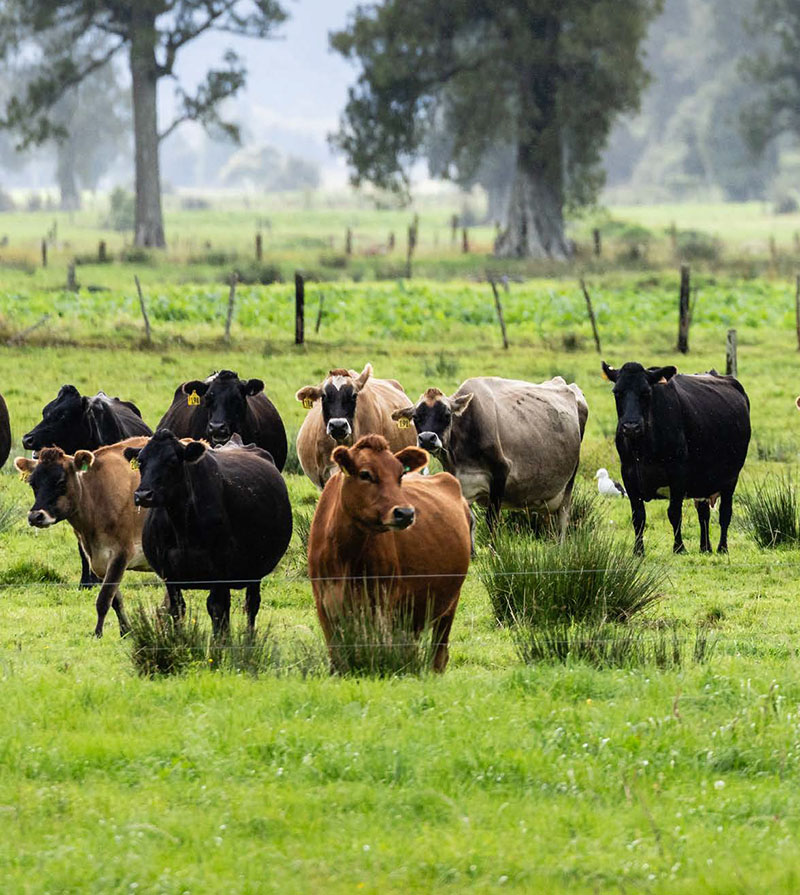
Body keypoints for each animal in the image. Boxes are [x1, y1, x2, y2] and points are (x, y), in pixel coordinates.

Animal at [14, 437, 151, 637]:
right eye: (33, 484)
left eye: (61, 482)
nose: (35, 516)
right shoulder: (96, 559)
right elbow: (115, 600)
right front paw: (126, 631)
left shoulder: (122, 553)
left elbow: (104, 599)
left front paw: (98, 634)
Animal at [124, 429, 292, 634]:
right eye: (141, 461)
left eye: (172, 461)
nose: (143, 495)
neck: (181, 524)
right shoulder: (168, 573)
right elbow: (176, 608)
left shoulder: (219, 571)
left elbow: (217, 608)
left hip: (256, 570)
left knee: (251, 605)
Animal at [308, 434, 471, 673]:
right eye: (365, 474)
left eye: (400, 475)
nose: (406, 513)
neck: (345, 556)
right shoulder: (324, 604)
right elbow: (338, 657)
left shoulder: (383, 602)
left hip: (449, 603)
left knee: (438, 654)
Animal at [392, 376, 589, 533]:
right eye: (416, 417)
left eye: (447, 415)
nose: (427, 438)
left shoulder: (501, 473)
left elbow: (491, 522)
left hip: (569, 482)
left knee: (563, 519)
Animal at [602, 361, 751, 555]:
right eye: (617, 392)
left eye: (646, 392)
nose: (631, 426)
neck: (642, 450)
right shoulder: (628, 474)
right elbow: (638, 516)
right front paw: (638, 551)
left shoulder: (678, 473)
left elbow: (674, 512)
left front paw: (679, 547)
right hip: (702, 482)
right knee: (703, 514)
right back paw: (705, 547)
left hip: (730, 478)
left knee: (725, 513)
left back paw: (722, 547)